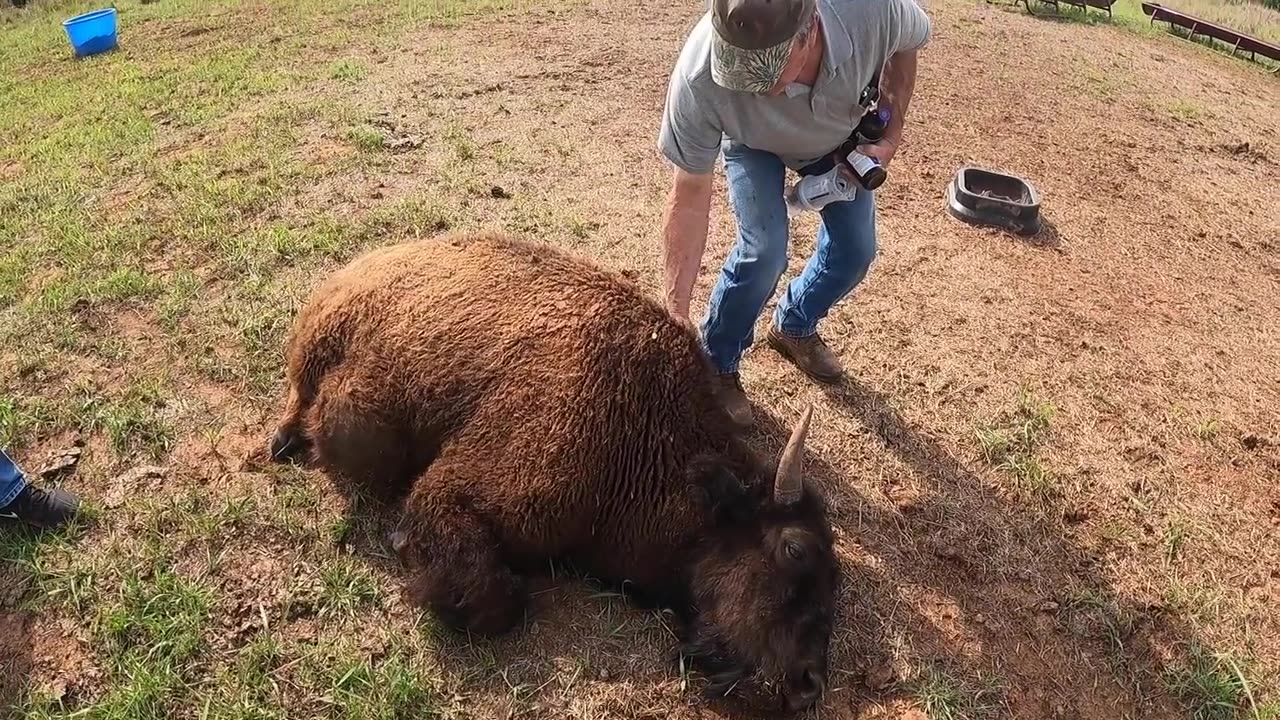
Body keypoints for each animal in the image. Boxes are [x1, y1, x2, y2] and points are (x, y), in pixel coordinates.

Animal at [270, 230, 839, 712]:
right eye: (794, 548)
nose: (809, 683)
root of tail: (337, 287)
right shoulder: (461, 494)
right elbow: (497, 599)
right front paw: (406, 548)